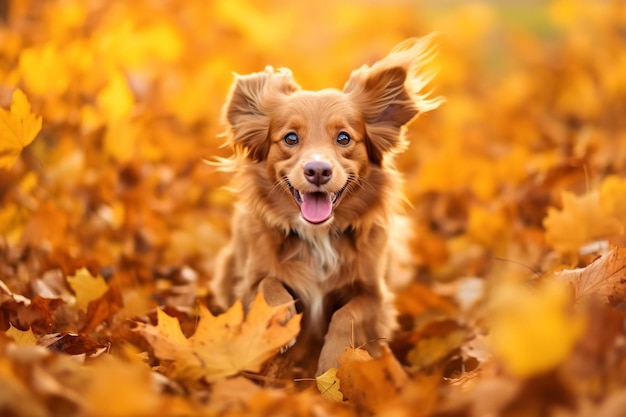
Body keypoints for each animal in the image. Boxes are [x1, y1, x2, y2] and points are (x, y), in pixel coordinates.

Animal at [212, 36, 442, 374]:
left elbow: (347, 314)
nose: (318, 170)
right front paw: (279, 320)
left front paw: (334, 362)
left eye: (344, 138)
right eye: (290, 138)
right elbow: (268, 284)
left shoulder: (375, 294)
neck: (318, 237)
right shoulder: (250, 280)